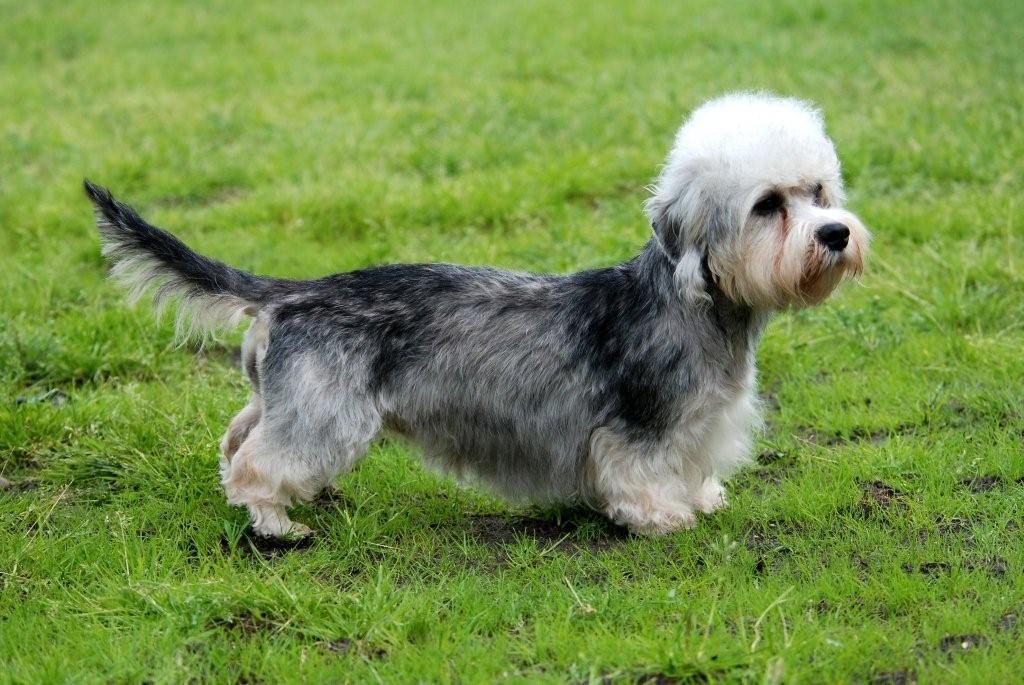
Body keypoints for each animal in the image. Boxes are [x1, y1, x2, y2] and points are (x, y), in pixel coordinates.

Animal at [90, 92, 872, 540]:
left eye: (819, 190)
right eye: (767, 205)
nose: (837, 234)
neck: (698, 305)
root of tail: (295, 291)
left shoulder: (700, 422)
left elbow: (696, 467)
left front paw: (702, 497)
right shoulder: (641, 426)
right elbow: (642, 474)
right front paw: (662, 517)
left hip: (288, 398)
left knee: (238, 434)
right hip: (327, 416)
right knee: (257, 461)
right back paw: (276, 521)